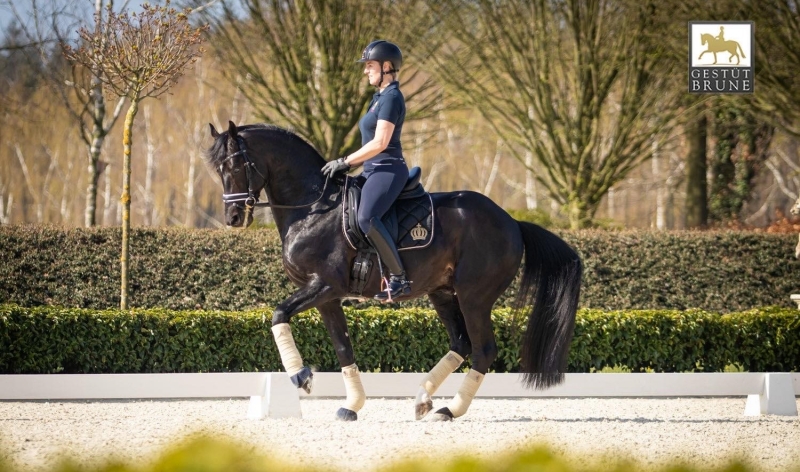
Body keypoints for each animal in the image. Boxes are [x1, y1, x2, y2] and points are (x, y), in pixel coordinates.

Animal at [206, 121, 580, 420]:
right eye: (218, 170)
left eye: (237, 164)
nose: (233, 217)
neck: (314, 207)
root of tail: (512, 222)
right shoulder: (326, 298)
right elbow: (343, 348)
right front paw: (351, 406)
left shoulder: (325, 286)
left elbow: (278, 313)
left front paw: (301, 377)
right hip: (442, 293)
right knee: (460, 343)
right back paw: (423, 399)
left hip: (474, 297)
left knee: (483, 349)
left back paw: (449, 409)